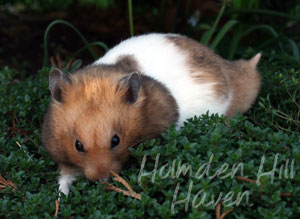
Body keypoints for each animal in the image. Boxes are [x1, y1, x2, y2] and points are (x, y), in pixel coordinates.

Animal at [41, 33, 262, 195]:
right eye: (78, 146)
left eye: (116, 141)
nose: (103, 180)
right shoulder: (62, 154)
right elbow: (65, 176)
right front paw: (62, 198)